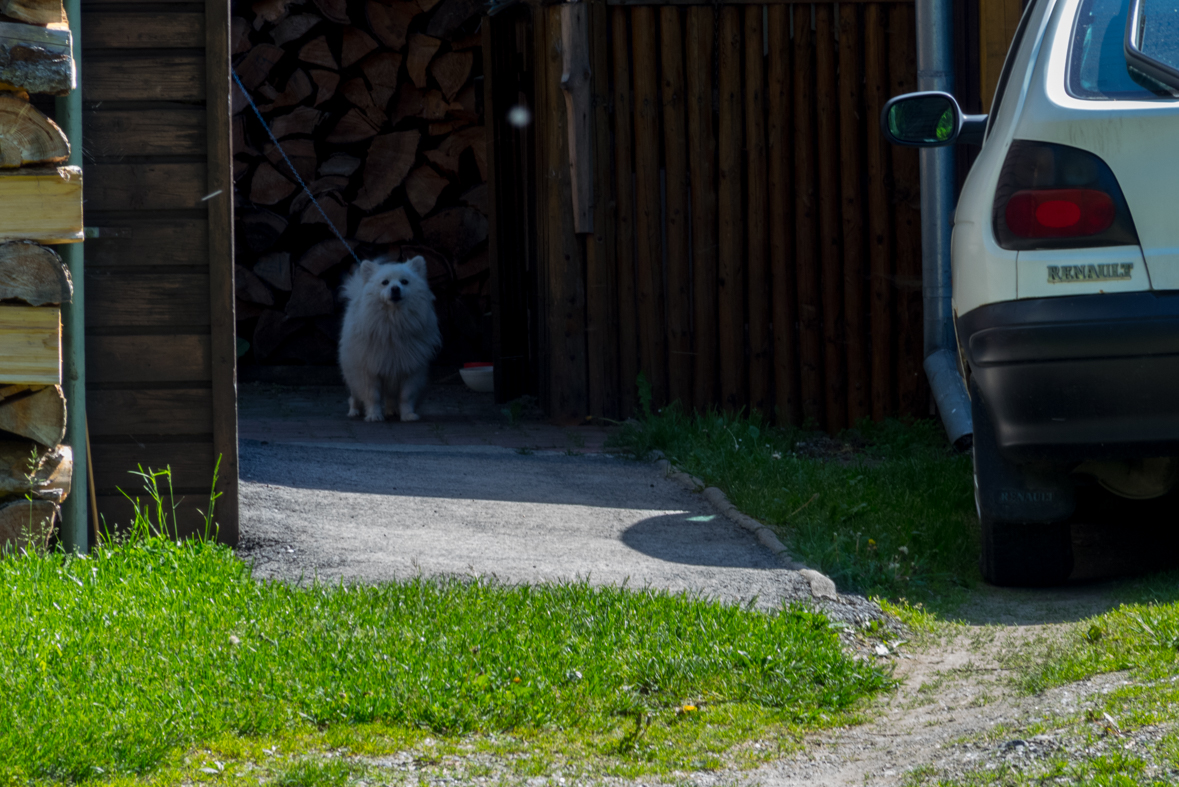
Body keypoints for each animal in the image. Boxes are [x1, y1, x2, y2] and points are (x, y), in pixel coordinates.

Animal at [337, 255, 443, 421]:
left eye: (404, 281)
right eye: (385, 282)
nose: (395, 288)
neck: (394, 321)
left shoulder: (409, 368)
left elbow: (405, 396)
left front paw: (408, 415)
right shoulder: (369, 369)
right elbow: (372, 395)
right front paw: (374, 415)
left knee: (390, 397)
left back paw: (391, 410)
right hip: (351, 369)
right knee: (354, 395)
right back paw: (354, 411)